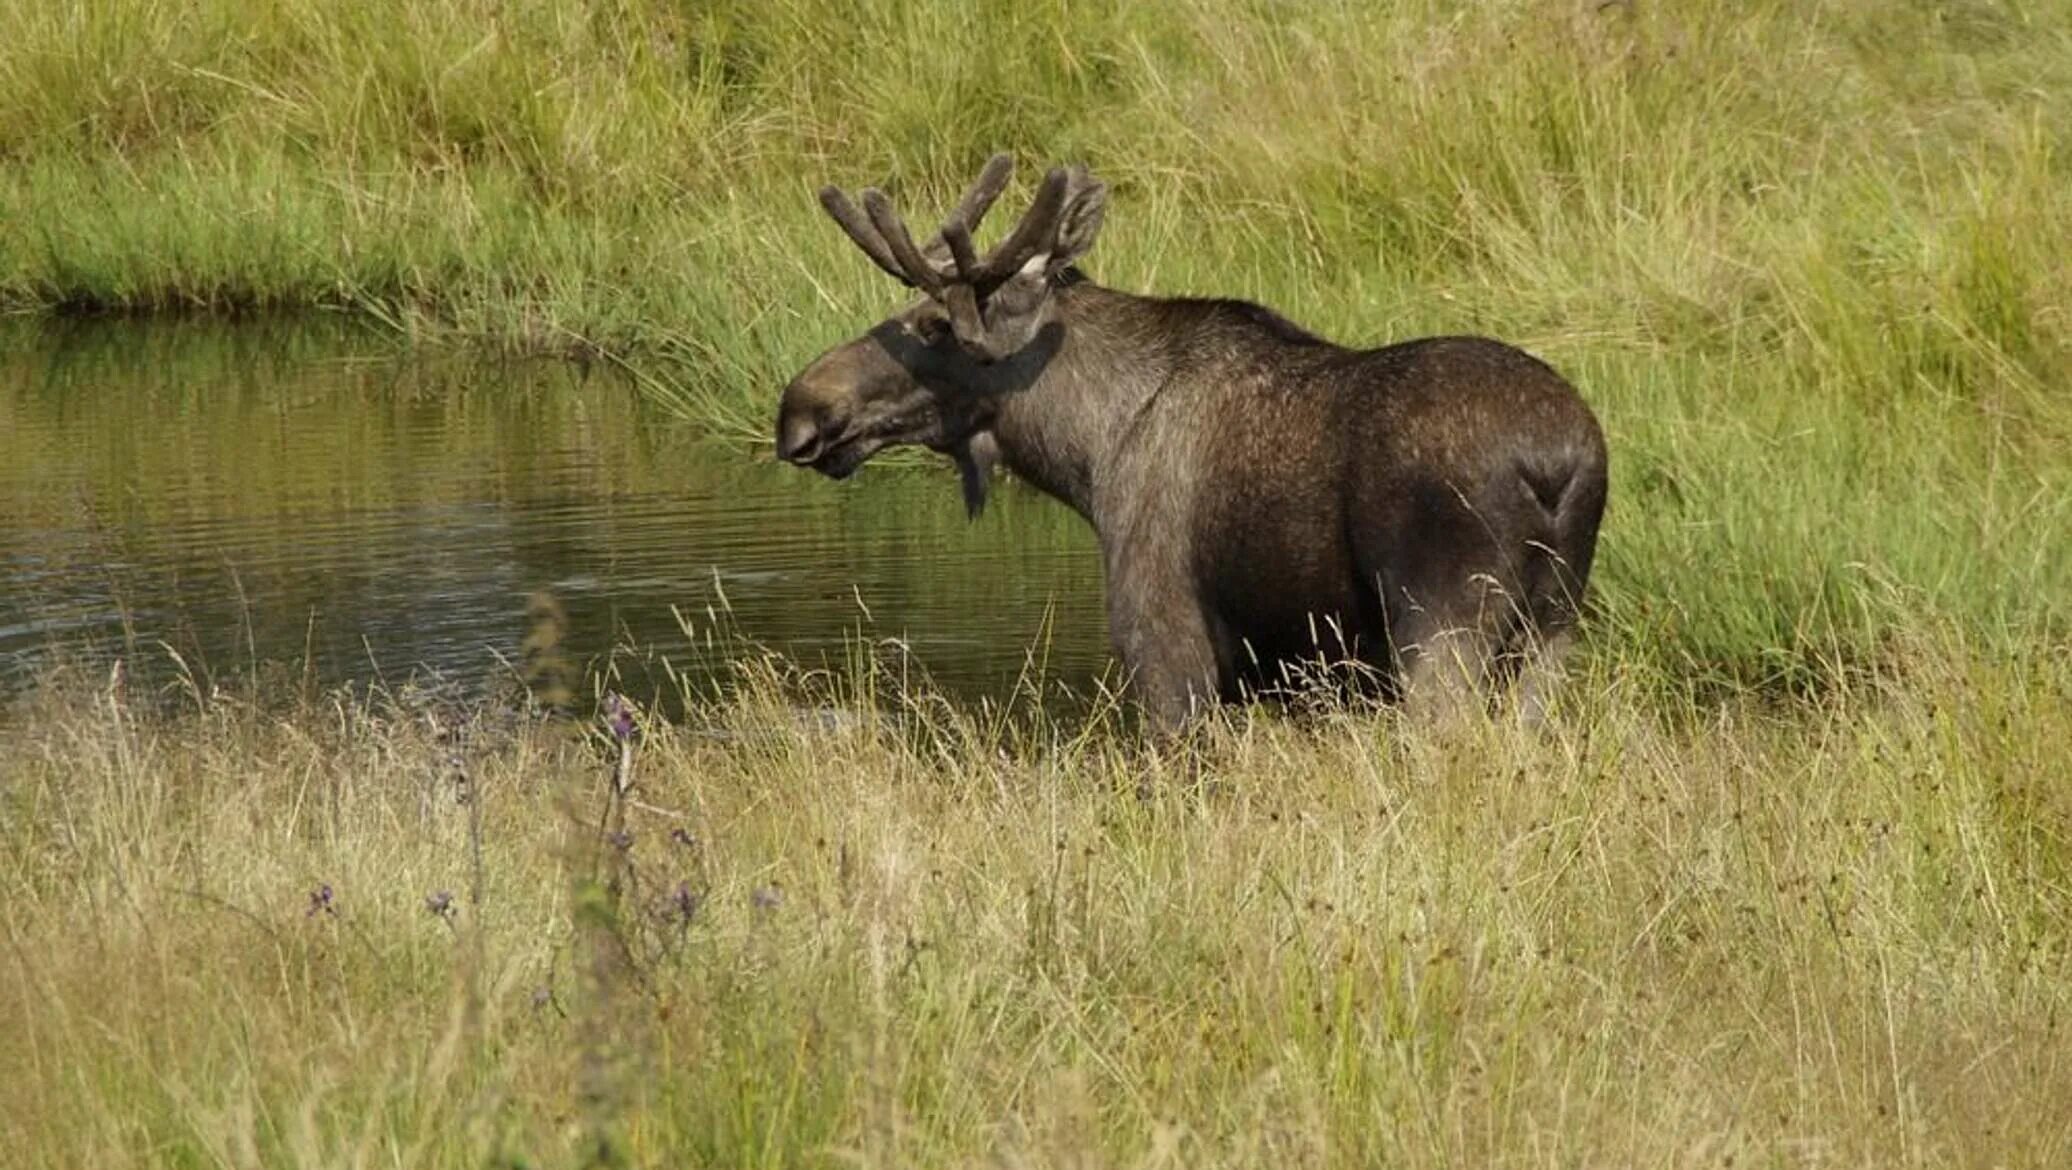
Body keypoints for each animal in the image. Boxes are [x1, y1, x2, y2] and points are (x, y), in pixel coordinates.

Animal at [779, 150, 1616, 724]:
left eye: (933, 325)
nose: (801, 409)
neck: (1084, 449)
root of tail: (1558, 463)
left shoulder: (1163, 648)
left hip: (1442, 625)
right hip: (1553, 628)